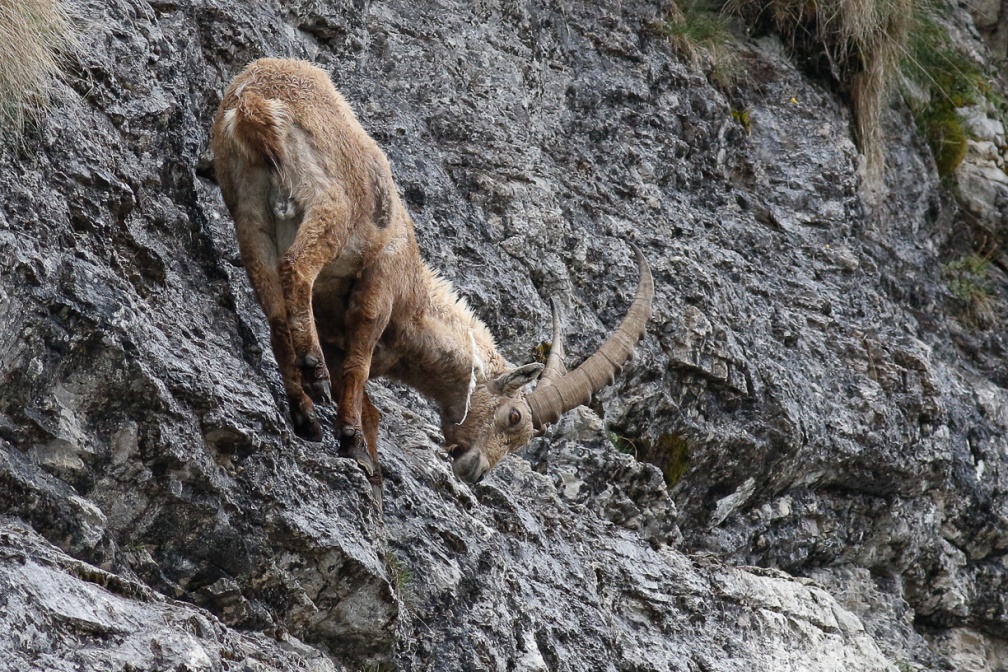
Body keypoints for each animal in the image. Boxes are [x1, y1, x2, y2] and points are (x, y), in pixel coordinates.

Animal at [210, 59, 653, 505]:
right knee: (296, 268)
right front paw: (353, 443)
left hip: (249, 212)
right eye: (513, 417)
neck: (415, 303)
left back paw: (303, 414)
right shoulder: (380, 286)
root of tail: (252, 101)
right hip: (328, 205)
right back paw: (312, 371)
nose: (475, 471)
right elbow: (357, 368)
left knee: (275, 313)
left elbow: (367, 402)